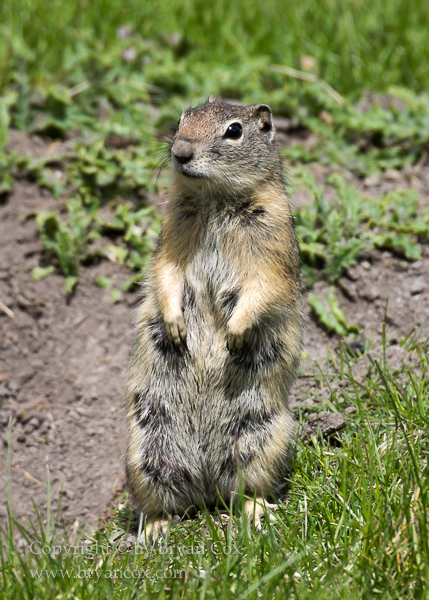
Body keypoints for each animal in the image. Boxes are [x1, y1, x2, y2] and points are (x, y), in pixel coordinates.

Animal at [125, 95, 302, 536]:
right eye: (181, 119)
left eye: (234, 131)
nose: (180, 151)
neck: (214, 199)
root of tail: (205, 491)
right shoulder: (170, 235)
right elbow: (165, 275)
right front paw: (175, 326)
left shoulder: (273, 245)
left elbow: (263, 289)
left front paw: (234, 335)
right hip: (146, 448)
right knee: (161, 500)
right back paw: (155, 528)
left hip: (262, 437)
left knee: (245, 489)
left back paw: (257, 512)